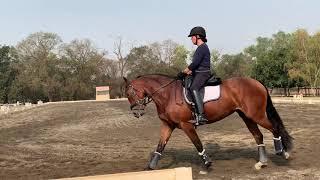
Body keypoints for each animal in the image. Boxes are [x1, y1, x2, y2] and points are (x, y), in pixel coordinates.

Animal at [122, 74, 292, 170]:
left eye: (130, 93)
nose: (137, 113)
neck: (167, 94)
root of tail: (257, 82)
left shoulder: (186, 125)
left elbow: (197, 143)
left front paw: (207, 163)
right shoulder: (168, 125)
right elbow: (160, 146)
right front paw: (150, 167)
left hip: (256, 115)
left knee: (274, 128)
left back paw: (282, 152)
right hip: (247, 117)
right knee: (258, 136)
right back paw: (262, 162)